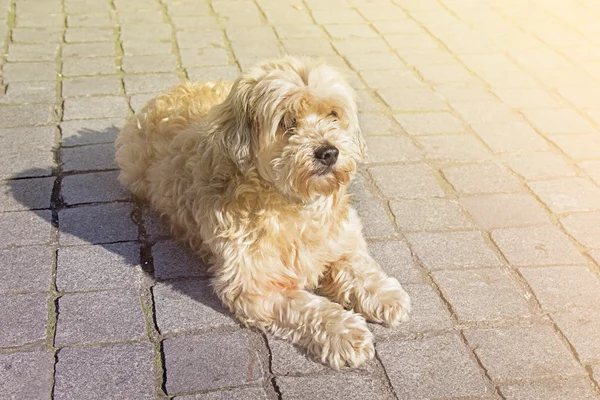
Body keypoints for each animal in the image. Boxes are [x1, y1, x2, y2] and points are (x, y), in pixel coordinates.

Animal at [115, 55, 410, 368]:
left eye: (333, 114)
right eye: (287, 122)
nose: (329, 152)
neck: (294, 206)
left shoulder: (343, 238)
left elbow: (356, 266)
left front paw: (383, 294)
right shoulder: (253, 287)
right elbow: (305, 306)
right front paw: (343, 330)